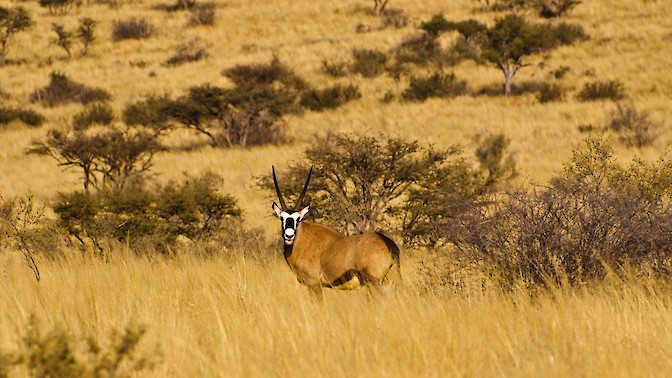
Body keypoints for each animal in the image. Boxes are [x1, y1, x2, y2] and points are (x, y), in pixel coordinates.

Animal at [272, 167, 402, 300]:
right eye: (282, 218)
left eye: (297, 219)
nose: (289, 236)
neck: (302, 240)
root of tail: (388, 244)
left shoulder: (314, 284)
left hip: (374, 283)